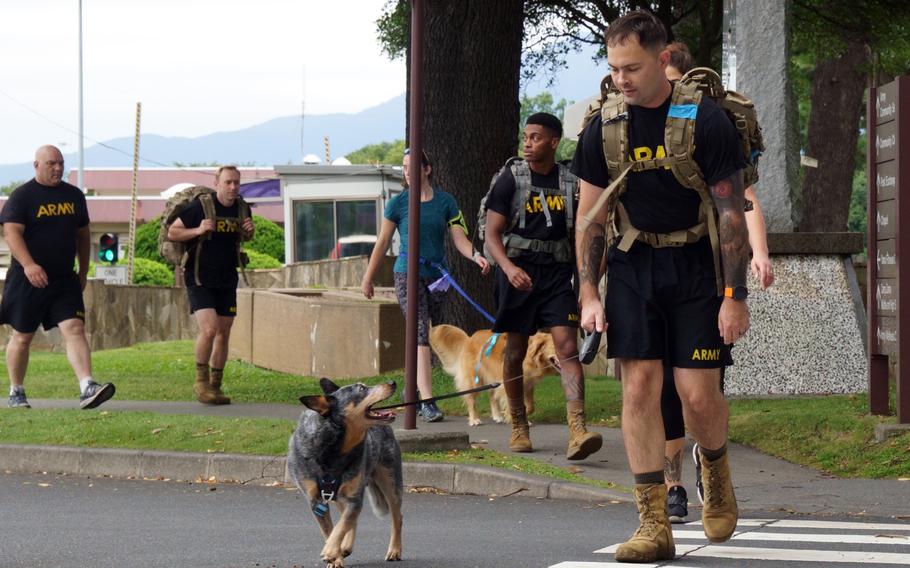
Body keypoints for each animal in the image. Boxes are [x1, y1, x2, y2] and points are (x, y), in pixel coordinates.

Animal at [288, 378, 402, 568]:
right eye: (361, 388)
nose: (393, 382)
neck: (334, 449)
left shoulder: (354, 497)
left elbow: (341, 527)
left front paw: (330, 551)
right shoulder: (316, 501)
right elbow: (332, 529)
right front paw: (336, 557)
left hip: (390, 480)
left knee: (396, 517)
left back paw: (395, 550)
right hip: (341, 495)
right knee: (349, 519)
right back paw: (345, 548)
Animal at [430, 324, 564, 426]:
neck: (530, 356)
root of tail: (469, 338)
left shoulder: (528, 384)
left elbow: (530, 406)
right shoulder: (511, 382)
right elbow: (514, 404)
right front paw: (514, 418)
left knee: (492, 396)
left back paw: (497, 416)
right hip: (474, 380)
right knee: (471, 399)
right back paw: (474, 419)